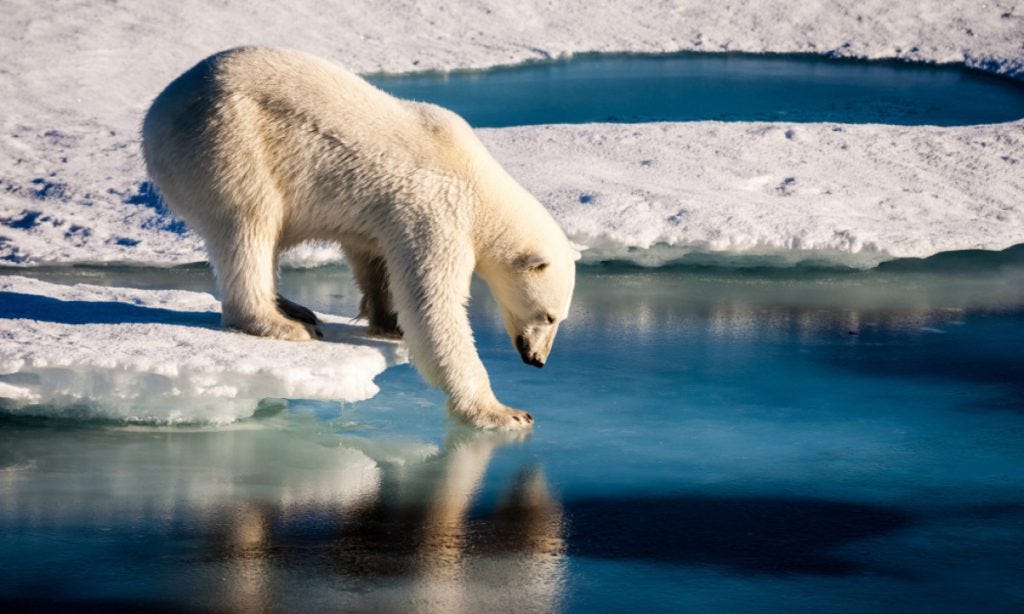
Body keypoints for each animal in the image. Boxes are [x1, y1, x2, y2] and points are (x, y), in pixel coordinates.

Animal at [141, 48, 581, 429]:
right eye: (549, 316)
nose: (537, 360)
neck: (477, 182)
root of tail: (157, 112)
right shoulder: (437, 212)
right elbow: (433, 306)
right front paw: (504, 412)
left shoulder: (386, 217)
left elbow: (374, 258)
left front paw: (389, 322)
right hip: (229, 141)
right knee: (250, 223)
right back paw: (281, 323)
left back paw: (293, 307)